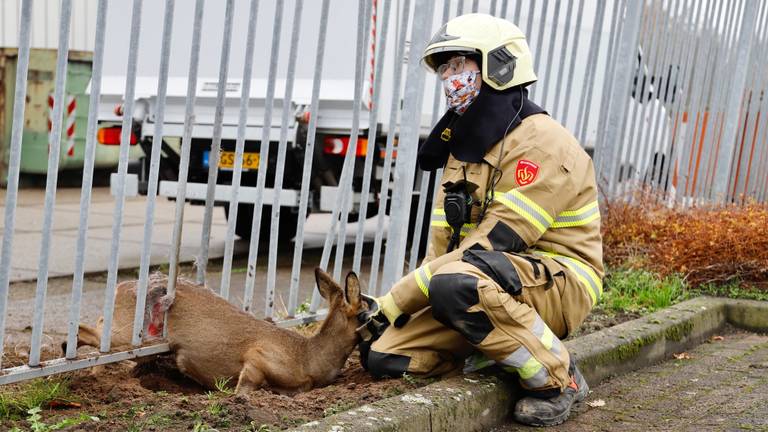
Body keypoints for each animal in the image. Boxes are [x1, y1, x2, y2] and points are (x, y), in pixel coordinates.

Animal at [67, 268, 368, 394]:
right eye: (366, 312)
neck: (309, 358)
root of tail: (120, 287)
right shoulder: (259, 357)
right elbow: (247, 384)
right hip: (133, 335)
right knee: (95, 331)